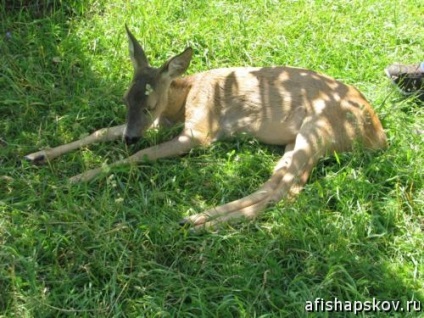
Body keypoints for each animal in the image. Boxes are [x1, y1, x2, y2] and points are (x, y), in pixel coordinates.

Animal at [24, 25, 386, 229]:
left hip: (320, 126)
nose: (130, 137)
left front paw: (75, 178)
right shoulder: (163, 124)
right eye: (125, 99)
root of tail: (378, 137)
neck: (183, 98)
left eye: (149, 104)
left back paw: (196, 221)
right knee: (281, 185)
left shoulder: (200, 130)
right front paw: (38, 155)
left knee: (286, 190)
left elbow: (143, 156)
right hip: (296, 140)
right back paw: (198, 219)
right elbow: (101, 131)